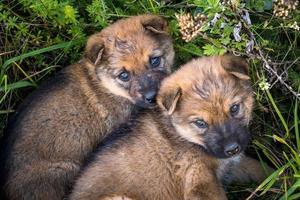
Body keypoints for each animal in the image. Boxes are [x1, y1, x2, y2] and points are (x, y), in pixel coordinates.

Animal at [69, 55, 268, 200]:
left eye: (234, 108)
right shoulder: (199, 181)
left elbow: (261, 169)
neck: (184, 136)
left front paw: (277, 177)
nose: (232, 148)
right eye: (200, 123)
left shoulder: (234, 165)